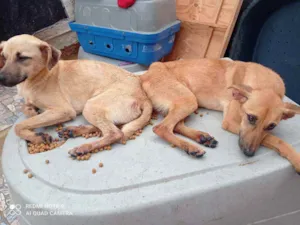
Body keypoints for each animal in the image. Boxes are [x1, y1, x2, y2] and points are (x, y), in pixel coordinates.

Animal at [0, 34, 152, 156]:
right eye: (4, 58)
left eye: (23, 58)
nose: (0, 78)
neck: (39, 76)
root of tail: (143, 96)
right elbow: (24, 108)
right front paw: (31, 111)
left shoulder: (63, 110)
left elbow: (19, 126)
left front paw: (37, 137)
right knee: (111, 126)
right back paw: (74, 131)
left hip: (91, 105)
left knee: (114, 133)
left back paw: (84, 147)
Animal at [139, 58, 300, 172]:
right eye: (251, 118)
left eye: (271, 126)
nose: (249, 154)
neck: (266, 84)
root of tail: (146, 74)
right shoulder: (231, 122)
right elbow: (275, 139)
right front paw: (296, 158)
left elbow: (268, 137)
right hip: (189, 100)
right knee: (162, 128)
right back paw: (191, 147)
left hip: (187, 102)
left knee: (176, 126)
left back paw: (202, 138)